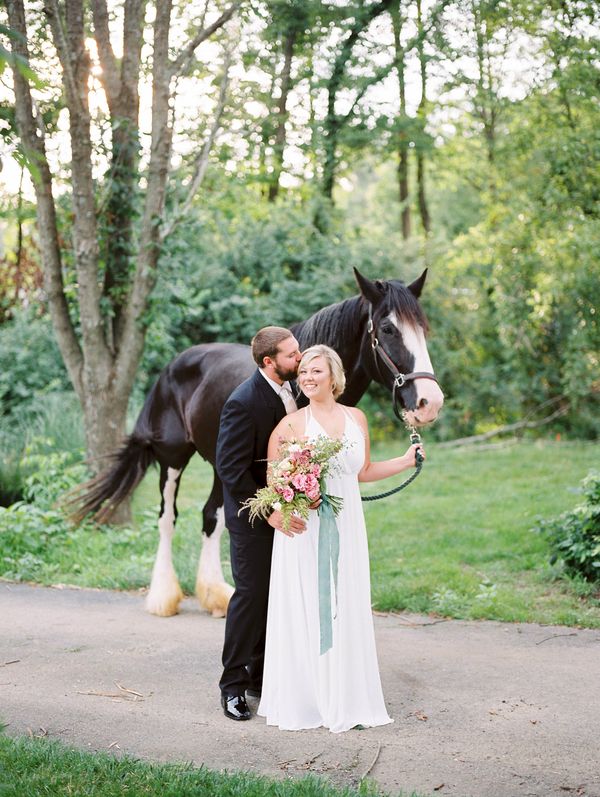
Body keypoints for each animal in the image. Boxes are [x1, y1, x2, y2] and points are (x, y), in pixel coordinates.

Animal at [72, 268, 442, 616]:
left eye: (423, 329)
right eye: (388, 329)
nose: (430, 402)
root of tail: (172, 367)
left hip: (220, 467)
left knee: (211, 517)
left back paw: (215, 595)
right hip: (173, 459)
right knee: (167, 518)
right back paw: (163, 597)